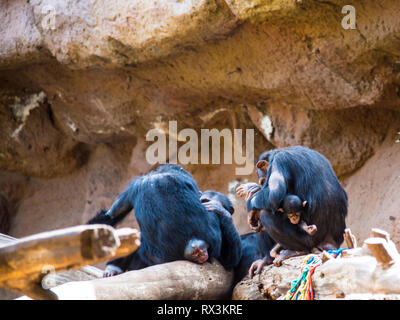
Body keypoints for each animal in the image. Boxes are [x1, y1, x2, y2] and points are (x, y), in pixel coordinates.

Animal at [238, 146, 346, 276]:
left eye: (264, 181)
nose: (263, 184)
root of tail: (331, 244)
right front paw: (252, 189)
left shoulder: (278, 162)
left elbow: (274, 195)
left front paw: (251, 196)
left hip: (309, 241)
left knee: (265, 213)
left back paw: (293, 252)